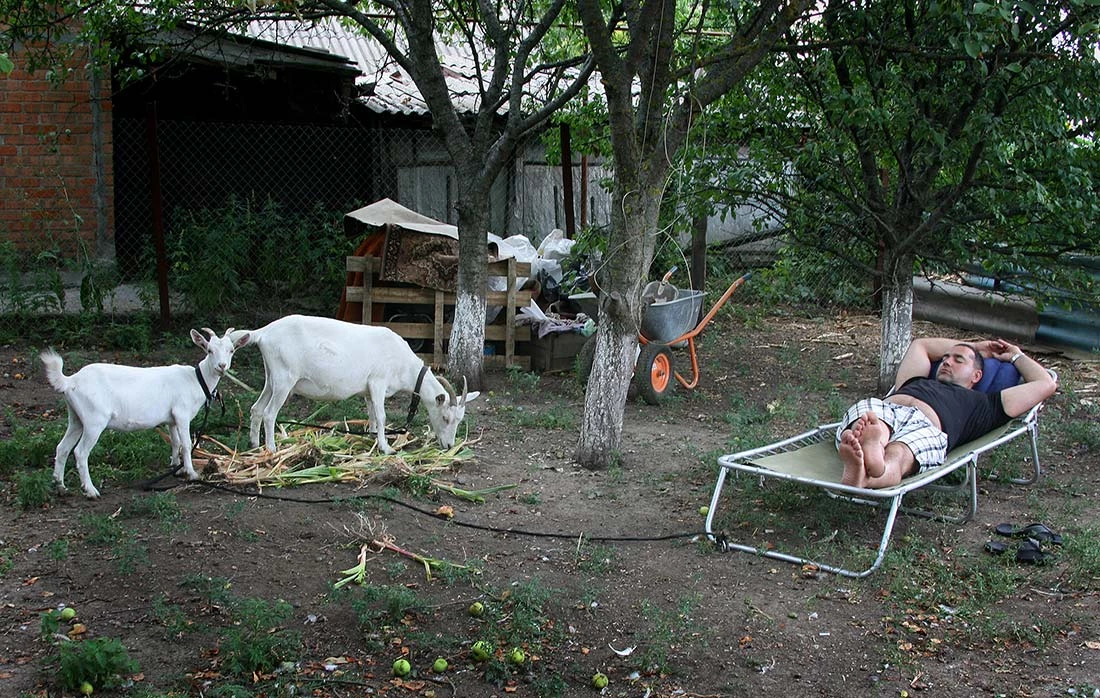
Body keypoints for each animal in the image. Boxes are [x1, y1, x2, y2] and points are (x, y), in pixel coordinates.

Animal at [40, 329, 249, 499]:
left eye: (232, 350)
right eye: (209, 350)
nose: (222, 366)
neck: (196, 380)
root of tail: (70, 381)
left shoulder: (171, 419)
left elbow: (175, 442)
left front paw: (176, 468)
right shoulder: (181, 414)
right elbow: (187, 444)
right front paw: (191, 473)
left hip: (76, 418)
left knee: (62, 448)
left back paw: (60, 487)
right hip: (94, 420)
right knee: (80, 452)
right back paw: (90, 491)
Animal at [234, 314, 479, 455]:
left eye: (459, 420)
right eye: (445, 418)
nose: (449, 446)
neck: (403, 364)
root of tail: (263, 333)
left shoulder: (368, 390)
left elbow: (372, 415)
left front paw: (372, 438)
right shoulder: (378, 382)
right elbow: (382, 416)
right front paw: (386, 448)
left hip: (272, 378)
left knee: (256, 409)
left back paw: (254, 444)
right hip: (285, 379)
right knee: (269, 413)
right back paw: (272, 449)